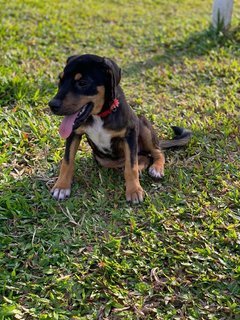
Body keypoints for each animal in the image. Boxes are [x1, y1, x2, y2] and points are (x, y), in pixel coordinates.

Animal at [48, 52, 191, 202]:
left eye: (82, 83)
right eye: (60, 80)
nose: (52, 105)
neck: (100, 115)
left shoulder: (130, 133)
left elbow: (131, 166)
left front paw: (134, 190)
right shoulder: (73, 132)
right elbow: (67, 161)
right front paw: (61, 186)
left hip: (142, 125)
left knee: (156, 152)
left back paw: (156, 168)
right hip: (104, 159)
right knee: (142, 157)